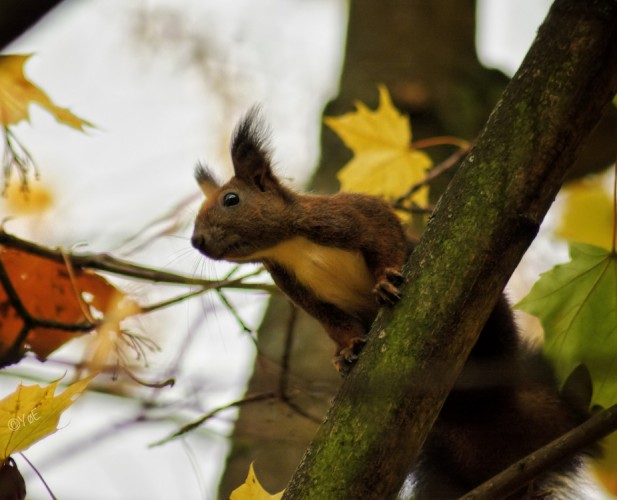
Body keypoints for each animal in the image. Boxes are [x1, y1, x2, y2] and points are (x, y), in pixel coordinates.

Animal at [191, 108, 592, 496]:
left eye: (231, 199)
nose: (196, 241)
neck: (292, 248)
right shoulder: (304, 294)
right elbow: (335, 324)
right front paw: (346, 352)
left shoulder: (352, 215)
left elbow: (385, 236)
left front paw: (385, 282)